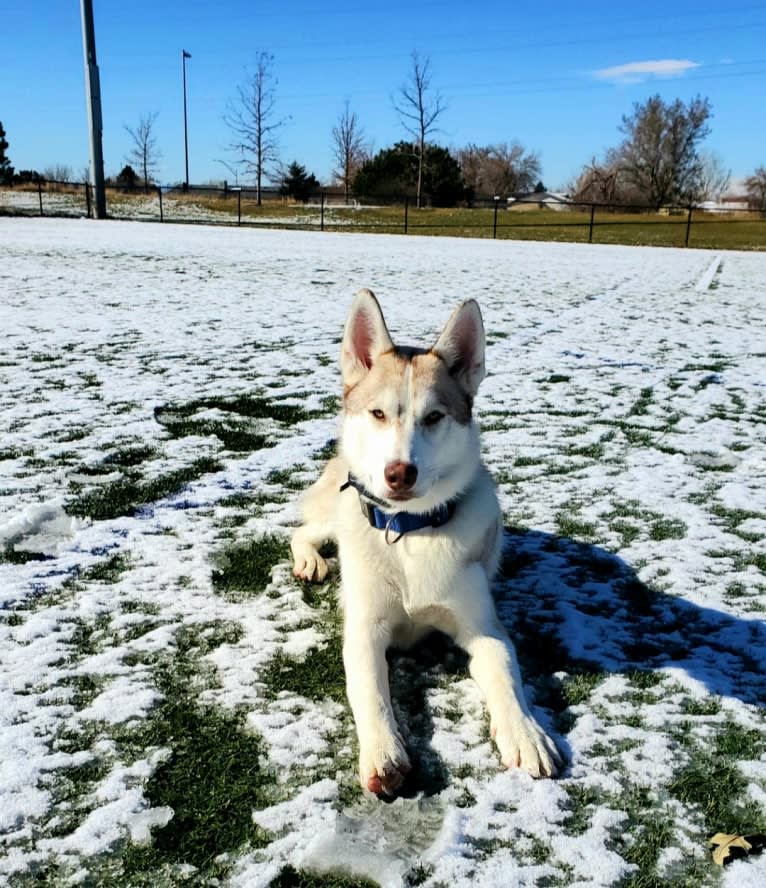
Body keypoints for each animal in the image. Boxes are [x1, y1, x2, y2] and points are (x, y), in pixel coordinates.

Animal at [292, 288, 560, 796]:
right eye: (378, 413)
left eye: (434, 417)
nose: (400, 473)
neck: (409, 532)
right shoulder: (365, 629)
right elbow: (370, 693)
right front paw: (384, 753)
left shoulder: (482, 626)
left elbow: (505, 671)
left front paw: (525, 733)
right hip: (337, 508)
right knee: (301, 530)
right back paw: (311, 562)